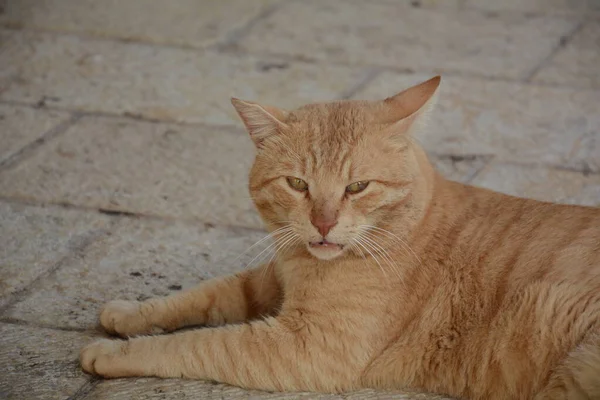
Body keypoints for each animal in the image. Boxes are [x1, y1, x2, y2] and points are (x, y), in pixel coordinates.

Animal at [81, 76, 600, 398]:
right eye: (297, 184)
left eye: (357, 187)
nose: (324, 223)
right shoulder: (268, 279)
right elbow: (200, 297)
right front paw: (129, 314)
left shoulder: (307, 346)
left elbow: (195, 344)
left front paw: (112, 353)